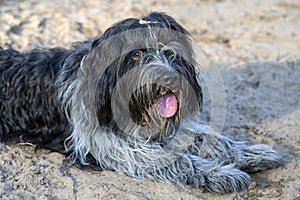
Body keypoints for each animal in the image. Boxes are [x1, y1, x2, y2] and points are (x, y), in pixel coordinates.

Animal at [0, 12, 284, 194]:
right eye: (136, 54)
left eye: (170, 51)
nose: (169, 78)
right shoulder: (113, 146)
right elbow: (175, 160)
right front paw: (222, 174)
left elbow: (207, 138)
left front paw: (253, 153)